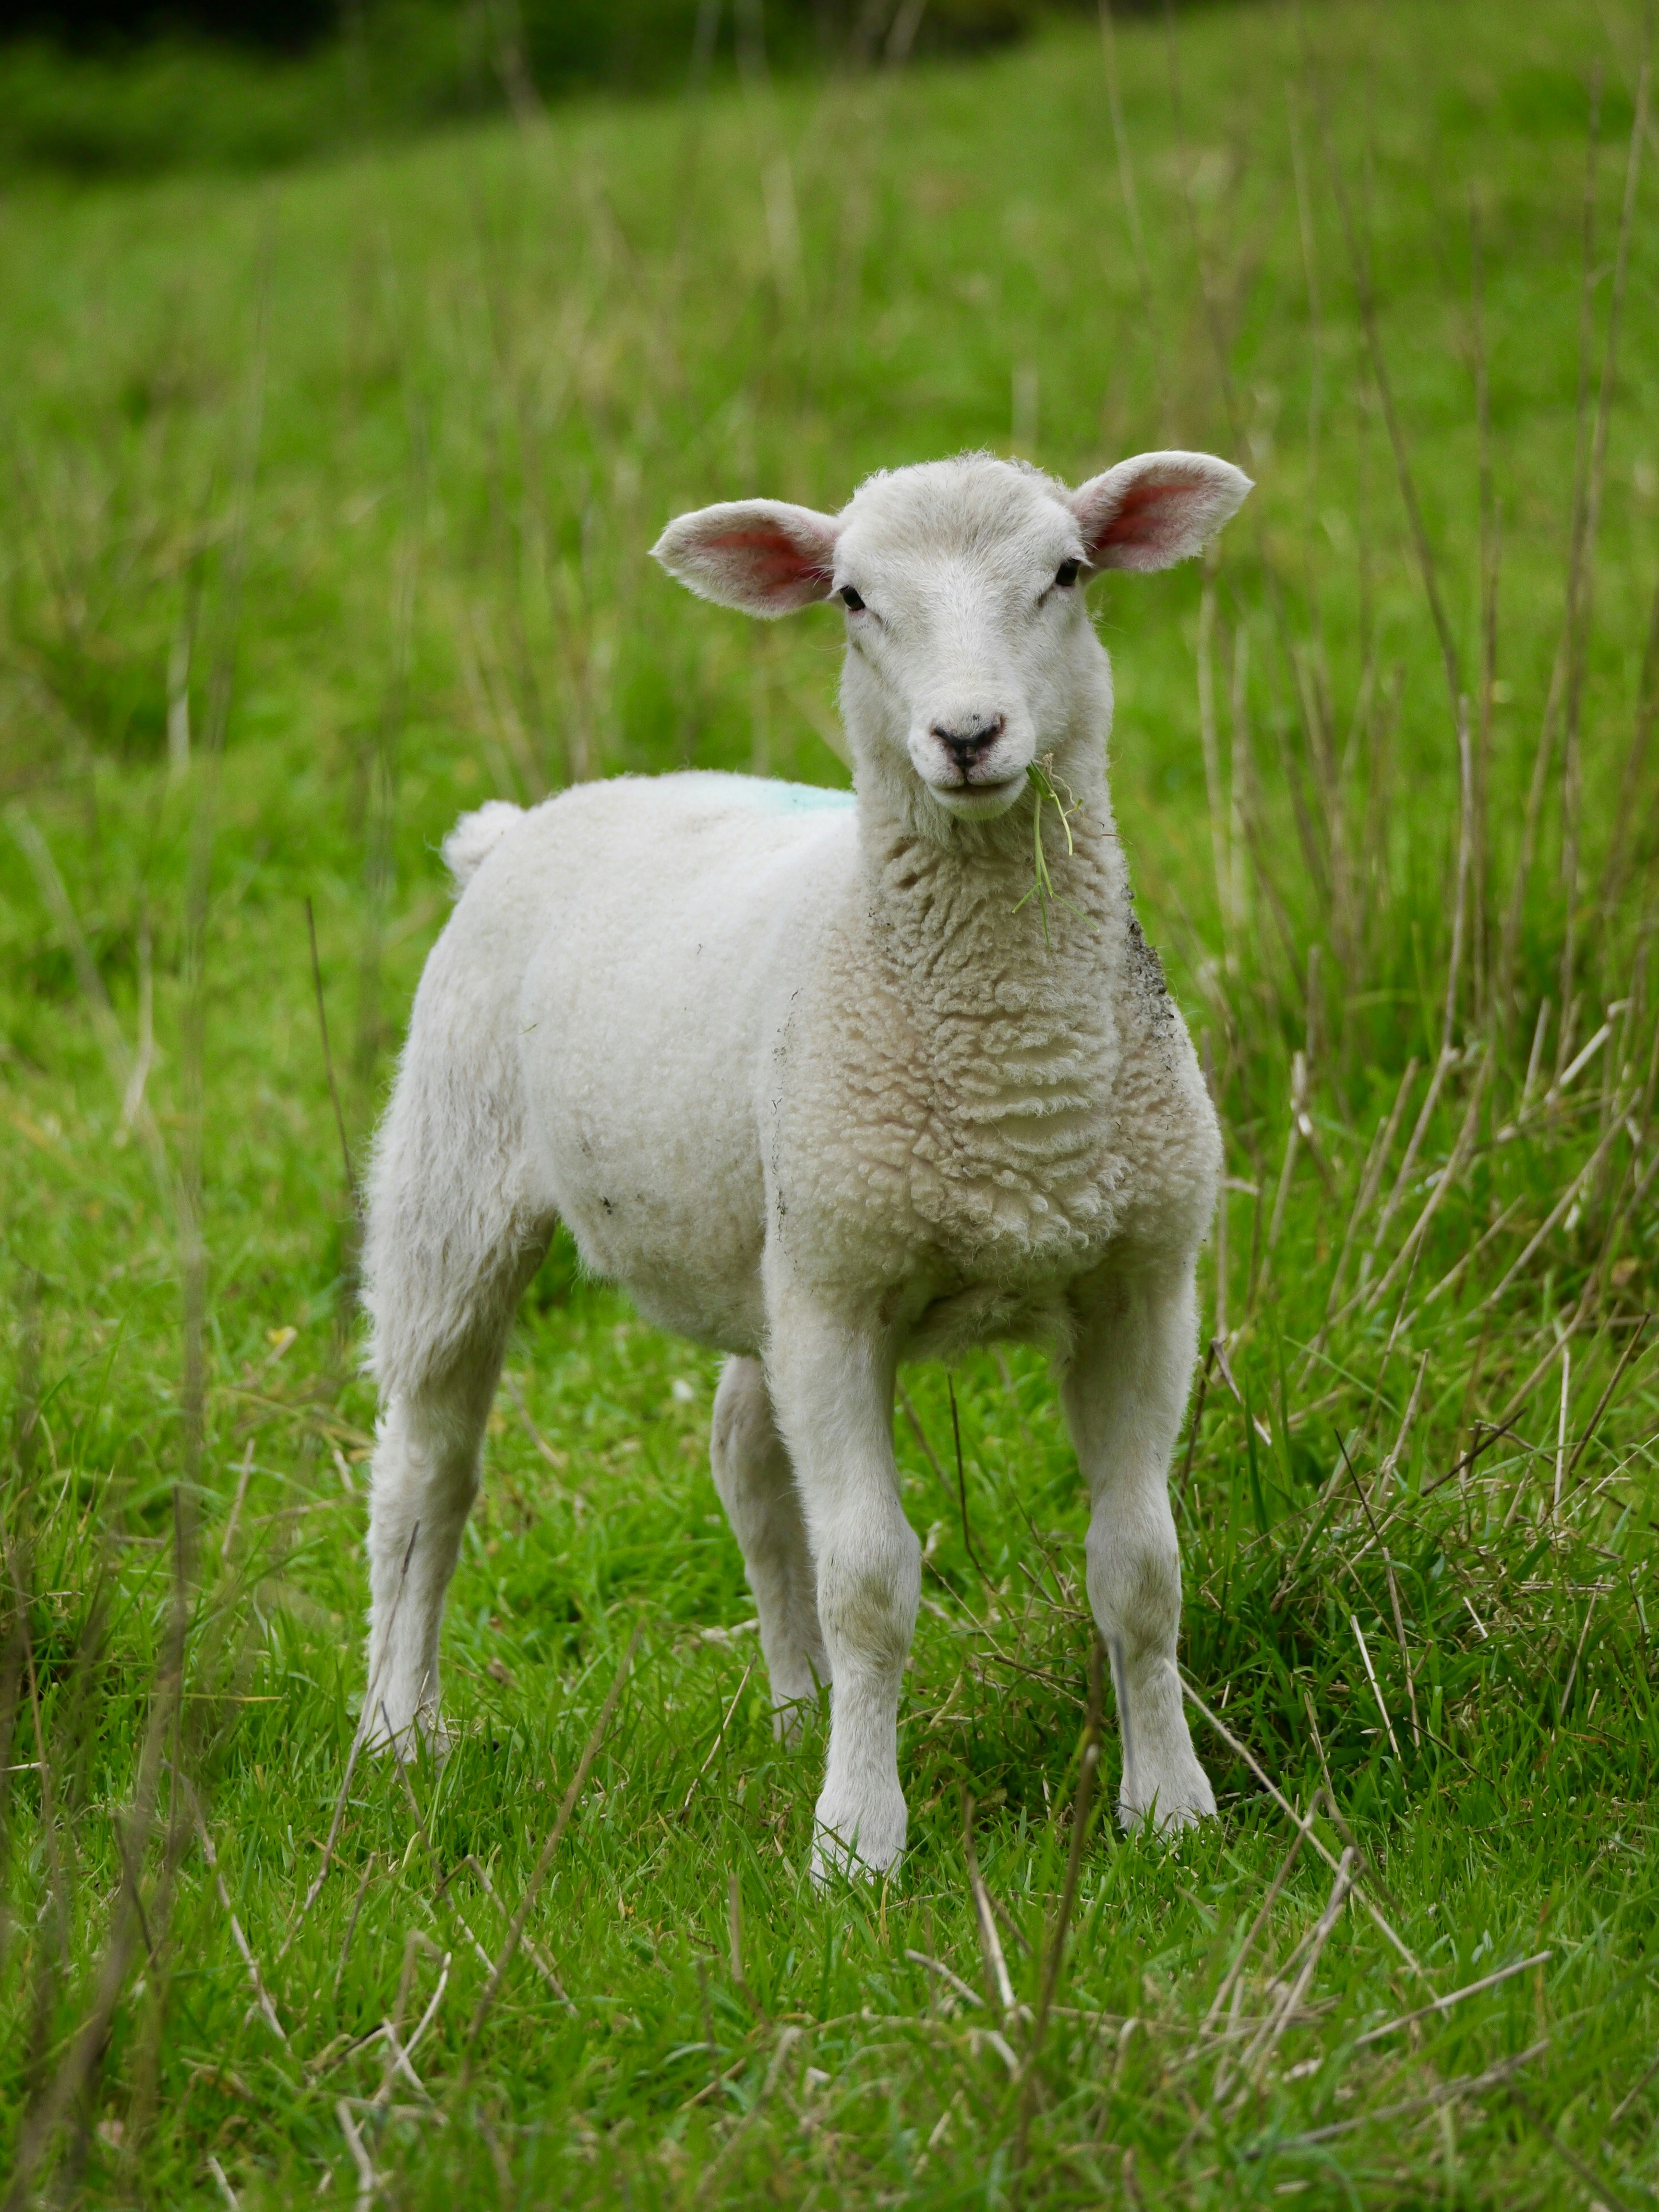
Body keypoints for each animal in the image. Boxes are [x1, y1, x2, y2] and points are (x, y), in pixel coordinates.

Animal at [359, 448, 1252, 1878]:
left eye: (1067, 574)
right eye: (851, 599)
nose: (967, 736)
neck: (1014, 1092)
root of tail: (521, 824)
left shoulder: (1140, 1285)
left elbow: (1142, 1568)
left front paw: (1167, 1808)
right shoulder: (840, 1301)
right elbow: (873, 1580)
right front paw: (857, 1840)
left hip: (765, 1239)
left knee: (745, 1457)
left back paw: (800, 1707)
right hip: (453, 1174)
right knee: (426, 1472)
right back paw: (399, 1726)